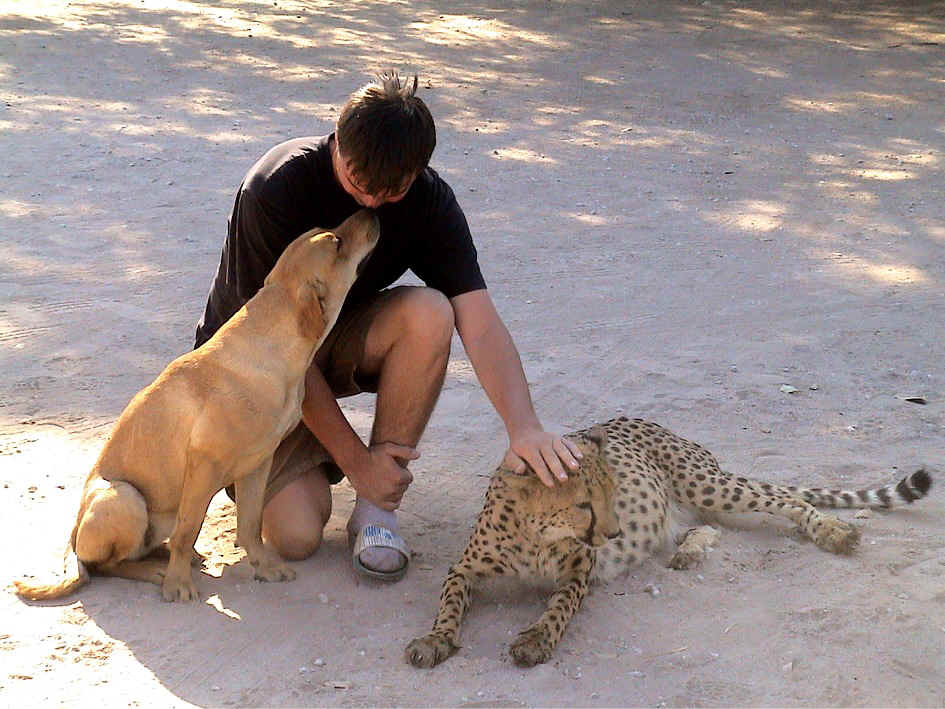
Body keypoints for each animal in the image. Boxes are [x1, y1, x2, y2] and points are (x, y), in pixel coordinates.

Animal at [14, 209, 379, 602]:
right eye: (336, 242)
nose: (372, 212)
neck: (271, 347)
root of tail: (74, 533)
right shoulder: (204, 463)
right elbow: (189, 529)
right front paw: (178, 584)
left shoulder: (259, 464)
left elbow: (249, 526)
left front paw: (264, 567)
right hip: (125, 497)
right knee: (109, 565)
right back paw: (159, 570)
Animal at [405, 416, 932, 669]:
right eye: (584, 504)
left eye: (612, 493)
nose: (614, 533)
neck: (535, 534)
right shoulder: (463, 569)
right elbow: (449, 602)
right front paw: (435, 640)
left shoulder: (579, 569)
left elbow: (557, 608)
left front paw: (535, 639)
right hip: (685, 507)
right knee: (707, 526)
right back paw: (688, 550)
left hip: (708, 485)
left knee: (784, 497)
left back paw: (833, 531)